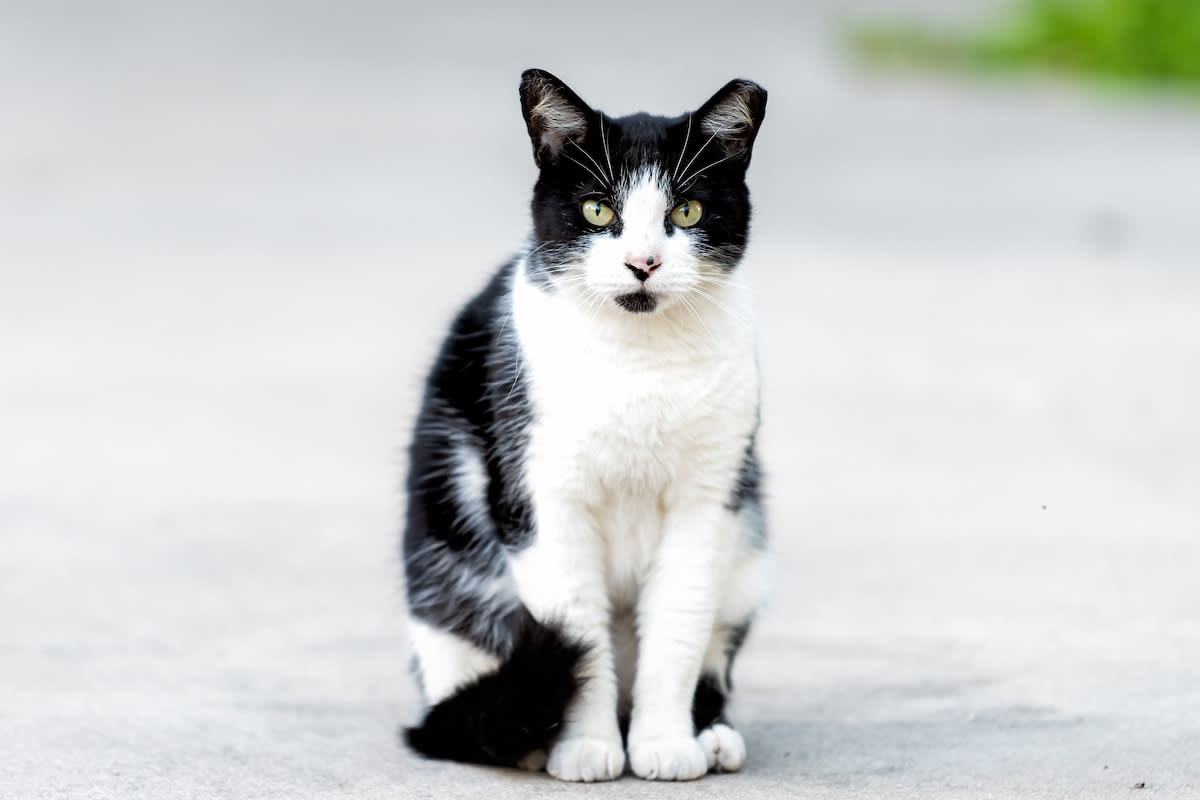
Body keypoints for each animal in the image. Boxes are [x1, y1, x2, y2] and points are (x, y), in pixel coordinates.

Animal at [398, 68, 763, 782]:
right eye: (599, 211)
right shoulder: (544, 497)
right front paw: (588, 747)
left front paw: (664, 744)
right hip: (441, 570)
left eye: (686, 212)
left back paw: (712, 733)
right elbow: (579, 635)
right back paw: (527, 739)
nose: (643, 263)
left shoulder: (709, 499)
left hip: (747, 551)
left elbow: (678, 626)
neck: (639, 358)